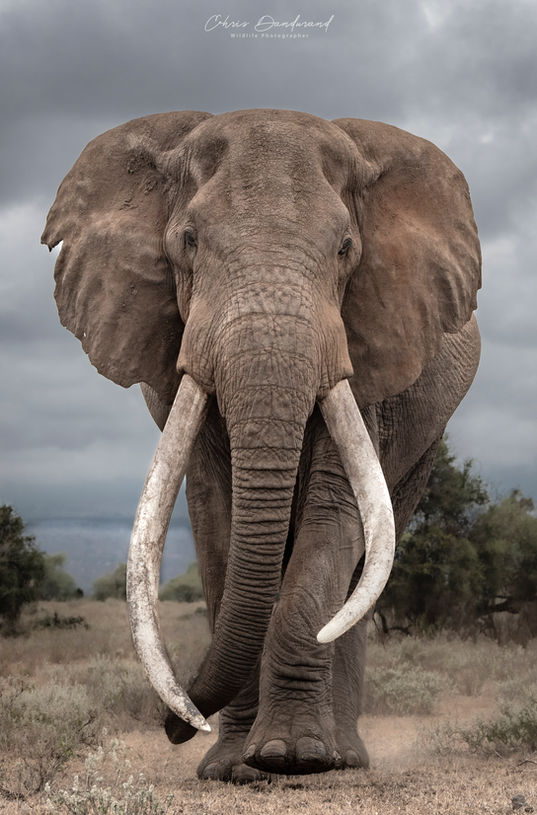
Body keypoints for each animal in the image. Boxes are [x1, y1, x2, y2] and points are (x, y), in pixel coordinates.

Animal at [42, 108, 481, 783]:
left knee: (366, 561)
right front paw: (234, 768)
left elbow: (335, 515)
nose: (177, 724)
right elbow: (215, 513)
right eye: (189, 241)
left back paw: (342, 758)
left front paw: (293, 758)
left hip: (425, 442)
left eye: (346, 248)